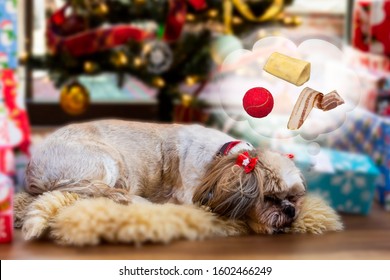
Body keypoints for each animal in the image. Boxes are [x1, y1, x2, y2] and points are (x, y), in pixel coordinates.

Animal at [24, 120, 306, 234]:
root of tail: (33, 170)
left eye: (294, 198)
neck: (221, 160)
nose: (290, 210)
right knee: (106, 192)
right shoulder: (190, 196)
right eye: (269, 198)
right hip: (107, 160)